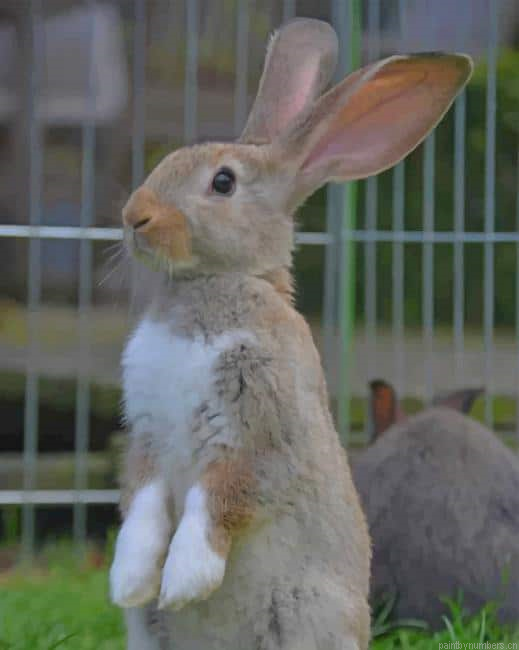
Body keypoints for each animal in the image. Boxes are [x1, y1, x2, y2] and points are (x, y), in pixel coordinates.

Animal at [108, 18, 472, 650]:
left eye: (222, 183)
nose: (136, 217)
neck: (214, 285)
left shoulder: (257, 427)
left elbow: (215, 500)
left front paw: (184, 582)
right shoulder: (149, 435)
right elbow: (146, 504)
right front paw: (128, 581)